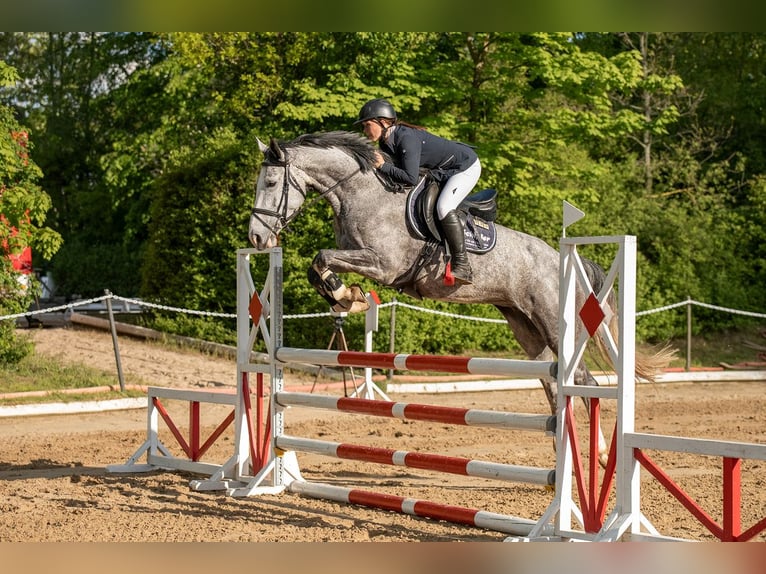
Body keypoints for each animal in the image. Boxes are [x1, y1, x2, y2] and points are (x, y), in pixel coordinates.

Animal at [250, 130, 672, 464]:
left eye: (270, 182)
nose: (256, 238)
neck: (361, 193)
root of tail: (561, 257)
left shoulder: (383, 265)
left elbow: (322, 257)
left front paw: (347, 295)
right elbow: (317, 263)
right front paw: (345, 297)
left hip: (553, 322)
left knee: (583, 380)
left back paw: (597, 453)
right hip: (525, 327)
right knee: (551, 382)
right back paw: (558, 448)